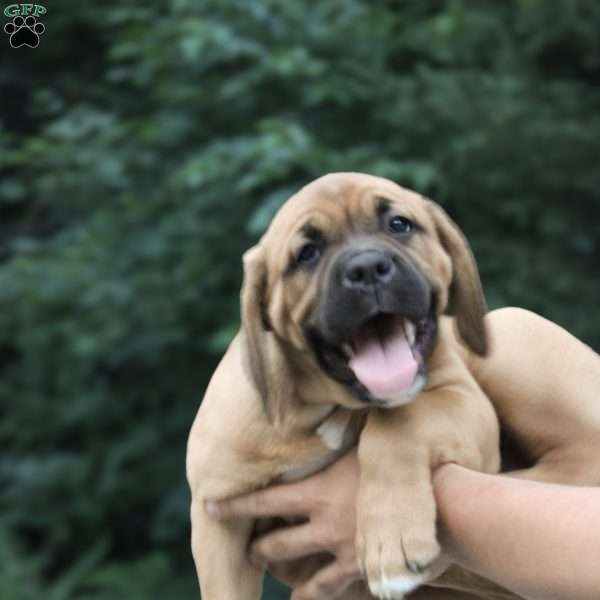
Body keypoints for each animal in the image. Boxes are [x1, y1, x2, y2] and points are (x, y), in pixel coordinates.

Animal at [188, 170, 502, 600]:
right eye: (307, 253)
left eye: (399, 224)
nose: (368, 268)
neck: (329, 406)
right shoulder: (216, 517)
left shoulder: (465, 401)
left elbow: (401, 422)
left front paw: (392, 538)